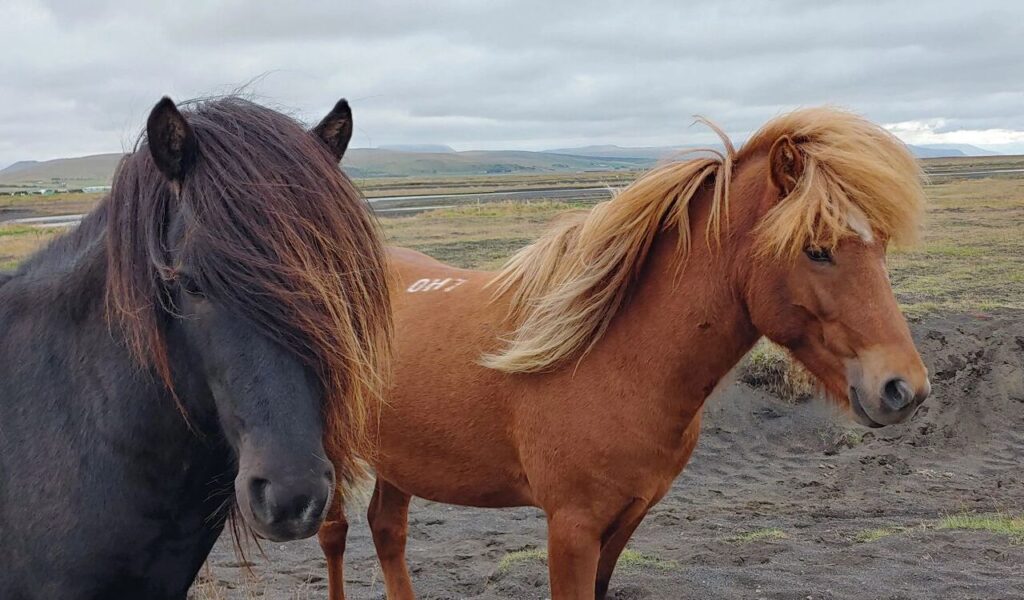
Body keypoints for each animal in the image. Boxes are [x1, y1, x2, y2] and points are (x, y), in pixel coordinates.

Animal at [318, 107, 932, 600]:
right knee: (336, 536)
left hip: (398, 456)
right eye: (817, 250)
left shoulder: (626, 519)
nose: (904, 388)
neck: (614, 360)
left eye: (880, 245)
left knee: (387, 531)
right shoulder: (571, 528)